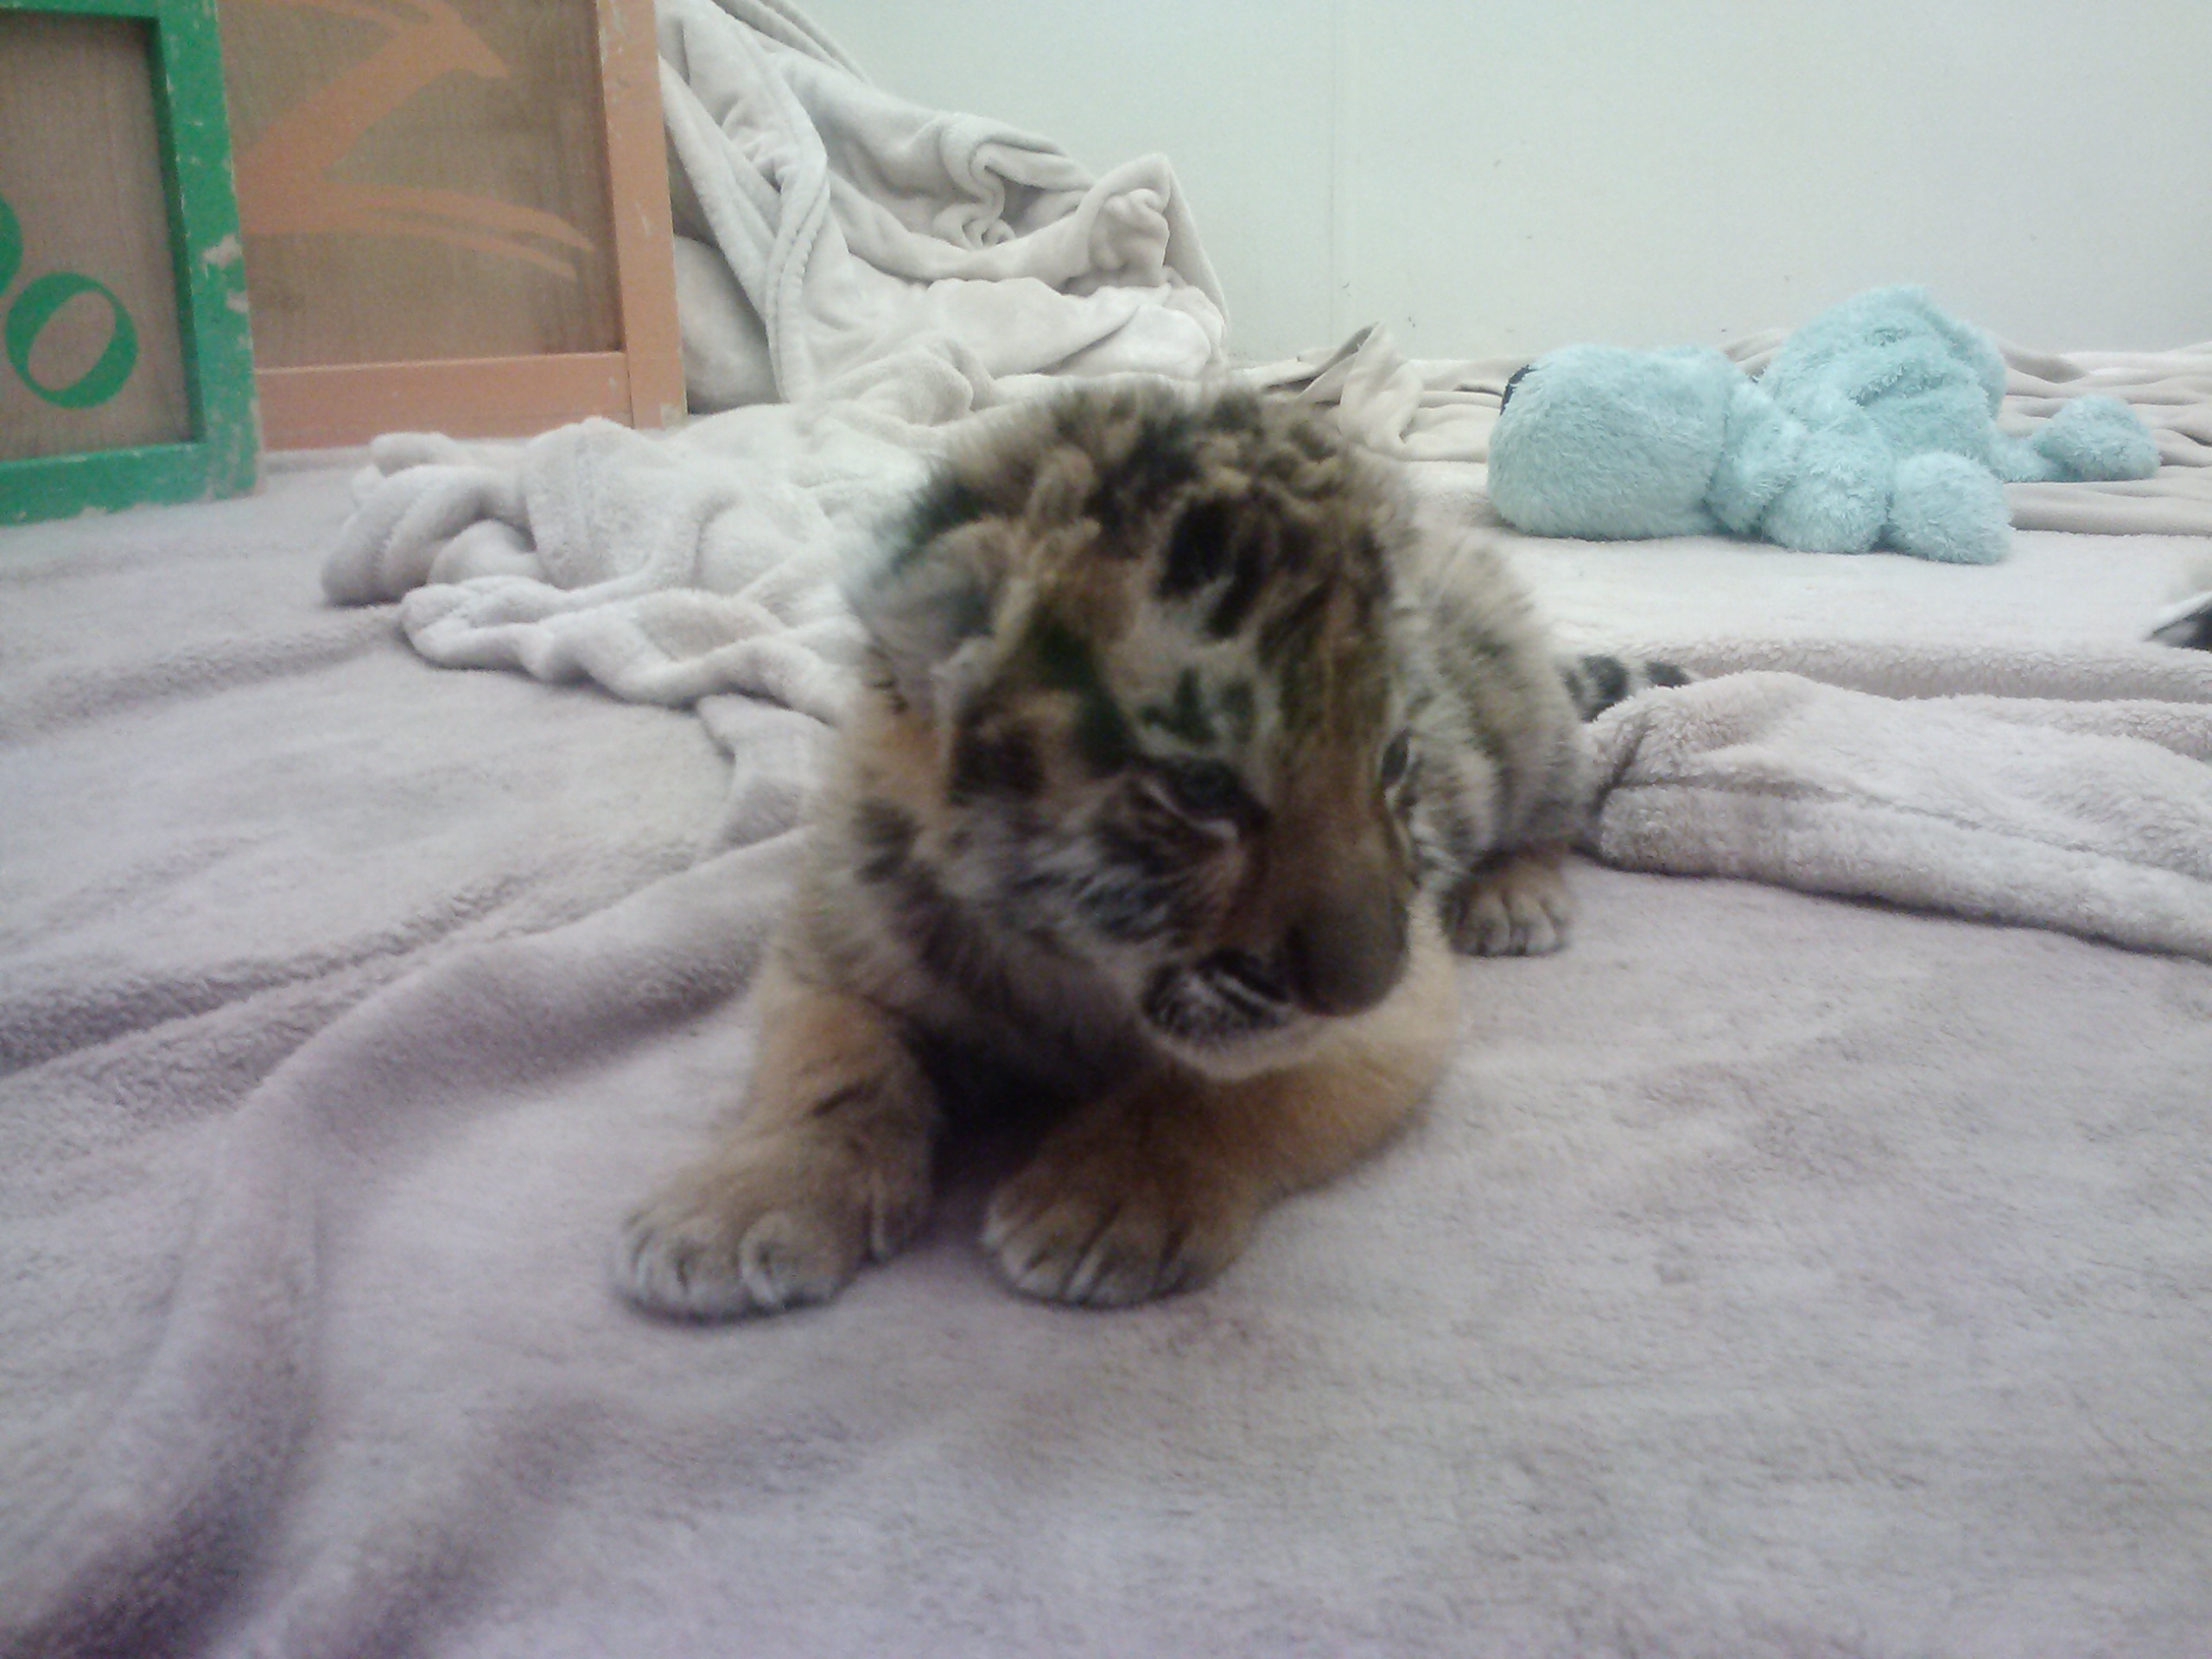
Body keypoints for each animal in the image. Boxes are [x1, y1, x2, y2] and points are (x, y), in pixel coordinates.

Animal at [617, 382, 1678, 1316]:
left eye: (1394, 759)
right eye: (1202, 787)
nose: (1366, 982)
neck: (1061, 956)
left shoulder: (1388, 1014)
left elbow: (1221, 1086)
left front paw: (1106, 1203)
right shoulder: (830, 945)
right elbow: (827, 1066)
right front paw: (741, 1209)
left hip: (1528, 729)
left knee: (1559, 804)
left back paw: (1514, 897)